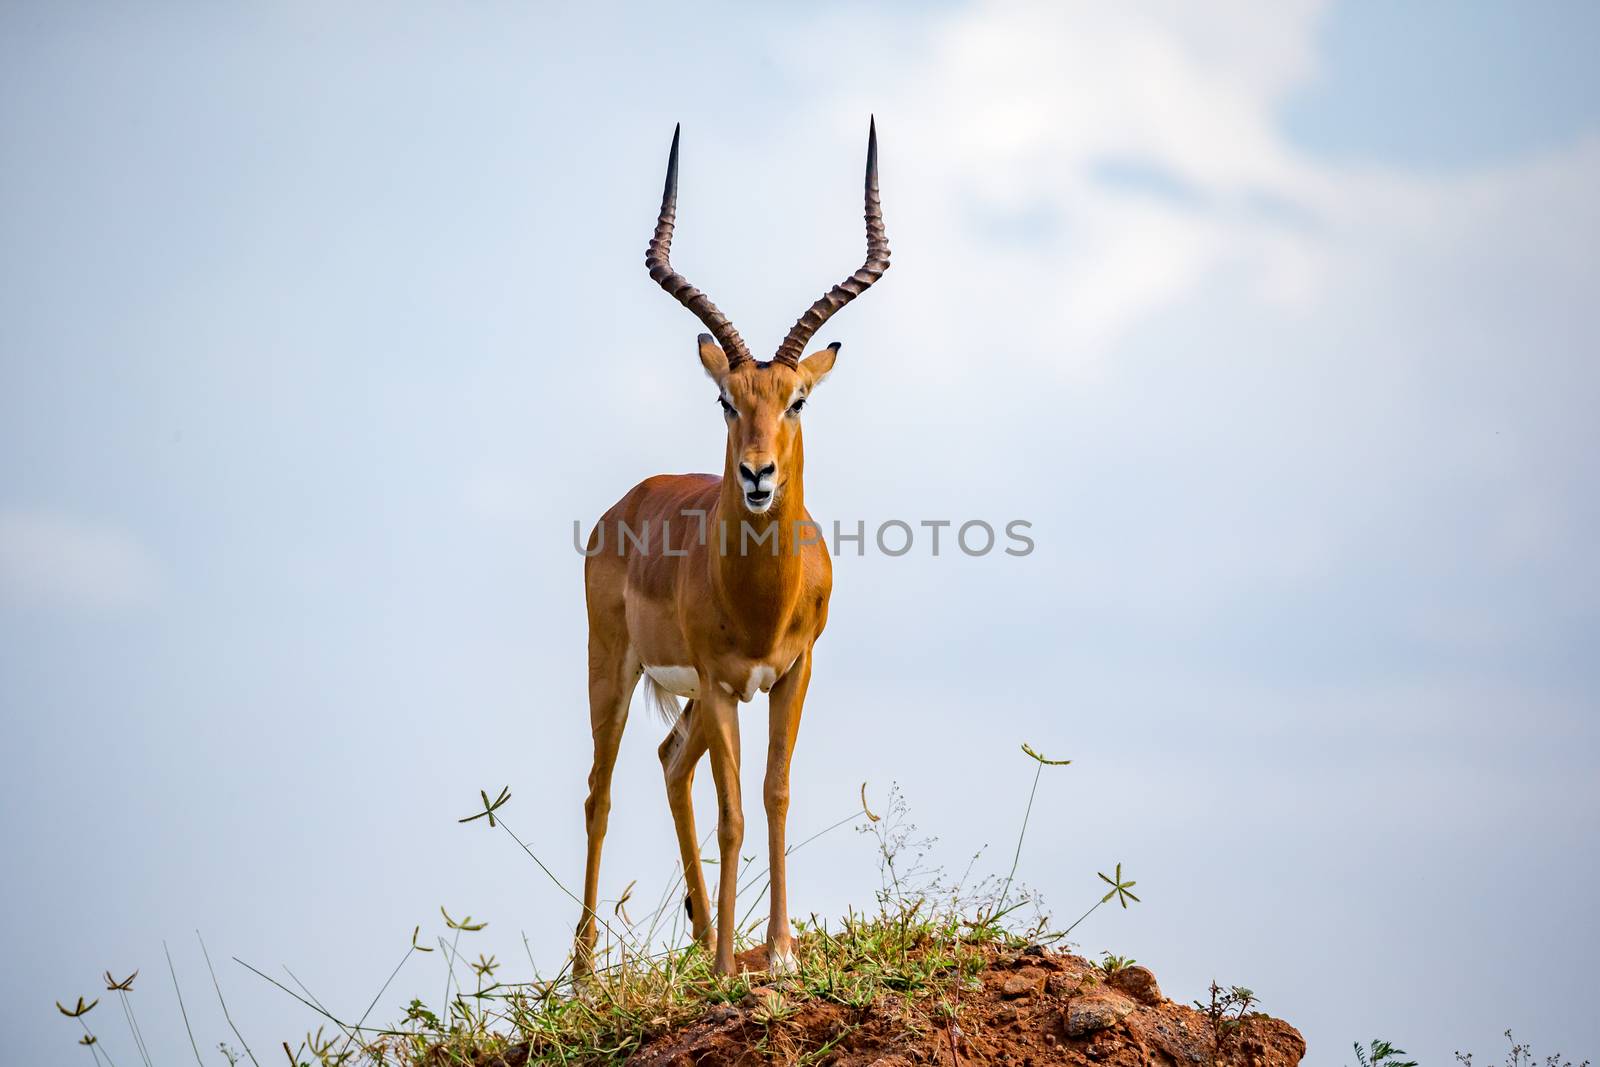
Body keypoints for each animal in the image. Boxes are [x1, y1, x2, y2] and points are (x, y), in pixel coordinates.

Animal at [579, 119, 889, 979]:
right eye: (725, 399)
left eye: (798, 398)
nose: (756, 474)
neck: (758, 601)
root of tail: (628, 501)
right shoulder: (722, 682)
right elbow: (732, 812)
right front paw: (730, 967)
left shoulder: (791, 673)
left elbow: (774, 795)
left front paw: (778, 952)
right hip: (614, 668)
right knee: (600, 792)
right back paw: (583, 975)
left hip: (684, 698)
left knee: (667, 761)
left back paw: (697, 938)